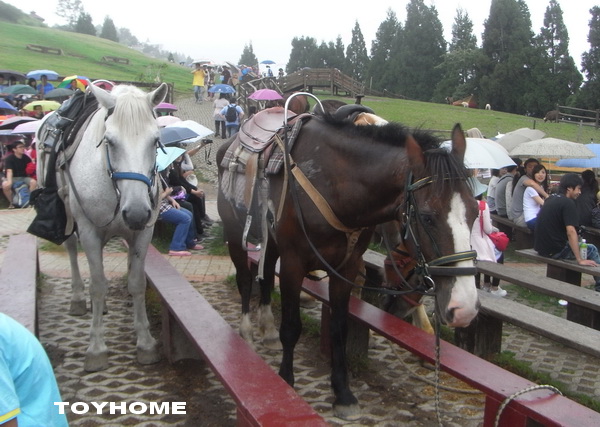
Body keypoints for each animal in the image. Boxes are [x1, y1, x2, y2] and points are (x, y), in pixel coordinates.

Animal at [37, 83, 169, 372]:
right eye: (109, 141)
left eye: (155, 141)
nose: (136, 212)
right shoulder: (89, 231)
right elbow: (97, 285)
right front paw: (96, 349)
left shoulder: (143, 233)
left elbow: (136, 282)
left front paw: (145, 342)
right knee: (72, 252)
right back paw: (77, 299)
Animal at [216, 113, 478, 418]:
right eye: (426, 217)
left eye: (475, 211)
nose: (465, 307)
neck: (333, 185)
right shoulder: (294, 264)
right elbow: (291, 327)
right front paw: (286, 380)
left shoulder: (346, 268)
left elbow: (340, 328)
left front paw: (342, 393)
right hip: (235, 234)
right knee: (246, 280)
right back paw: (247, 331)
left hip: (272, 243)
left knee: (266, 274)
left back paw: (267, 329)